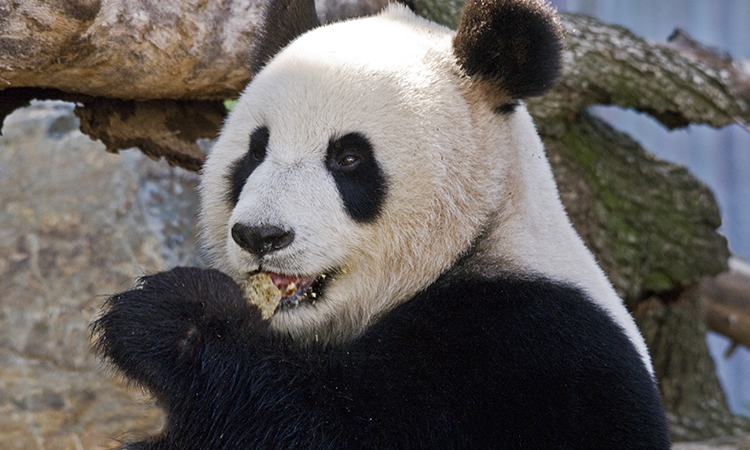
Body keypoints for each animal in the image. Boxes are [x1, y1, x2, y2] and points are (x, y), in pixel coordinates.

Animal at [91, 0, 672, 446]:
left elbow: (337, 428)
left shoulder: (532, 350)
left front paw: (174, 314)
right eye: (255, 152)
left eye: (349, 158)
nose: (261, 236)